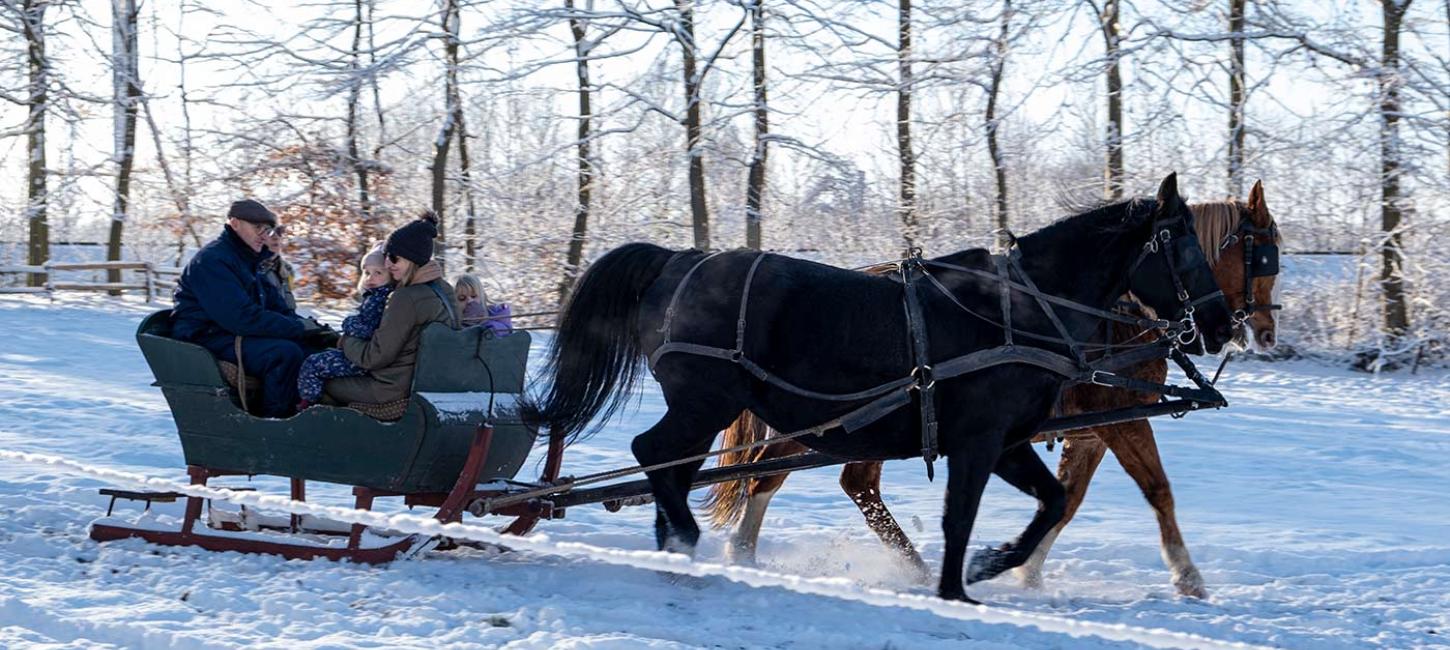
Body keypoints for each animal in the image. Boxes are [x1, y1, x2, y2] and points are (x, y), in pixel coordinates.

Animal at [527, 174, 1229, 603]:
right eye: (1183, 246)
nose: (1222, 326)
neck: (1019, 310)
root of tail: (680, 261)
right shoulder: (979, 441)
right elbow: (959, 515)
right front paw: (956, 586)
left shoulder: (1008, 442)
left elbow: (1052, 502)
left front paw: (989, 565)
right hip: (707, 402)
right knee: (654, 455)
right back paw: (684, 539)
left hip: (710, 410)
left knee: (674, 467)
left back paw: (676, 548)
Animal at [707, 179, 1287, 597]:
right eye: (1262, 254)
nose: (1255, 331)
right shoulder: (1120, 420)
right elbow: (1157, 491)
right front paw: (1188, 577)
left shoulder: (1089, 433)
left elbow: (1068, 499)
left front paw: (1023, 569)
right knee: (772, 473)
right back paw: (745, 550)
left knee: (853, 484)